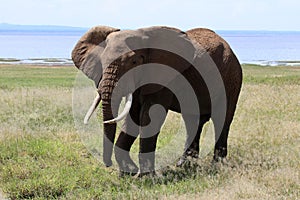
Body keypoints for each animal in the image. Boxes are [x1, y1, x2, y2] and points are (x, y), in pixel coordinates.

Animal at [71, 25, 243, 176]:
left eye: (134, 62)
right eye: (102, 62)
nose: (108, 164)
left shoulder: (164, 76)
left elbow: (150, 118)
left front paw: (145, 177)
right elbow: (132, 117)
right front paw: (128, 173)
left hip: (231, 78)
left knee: (222, 119)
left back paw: (217, 166)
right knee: (192, 120)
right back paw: (184, 165)